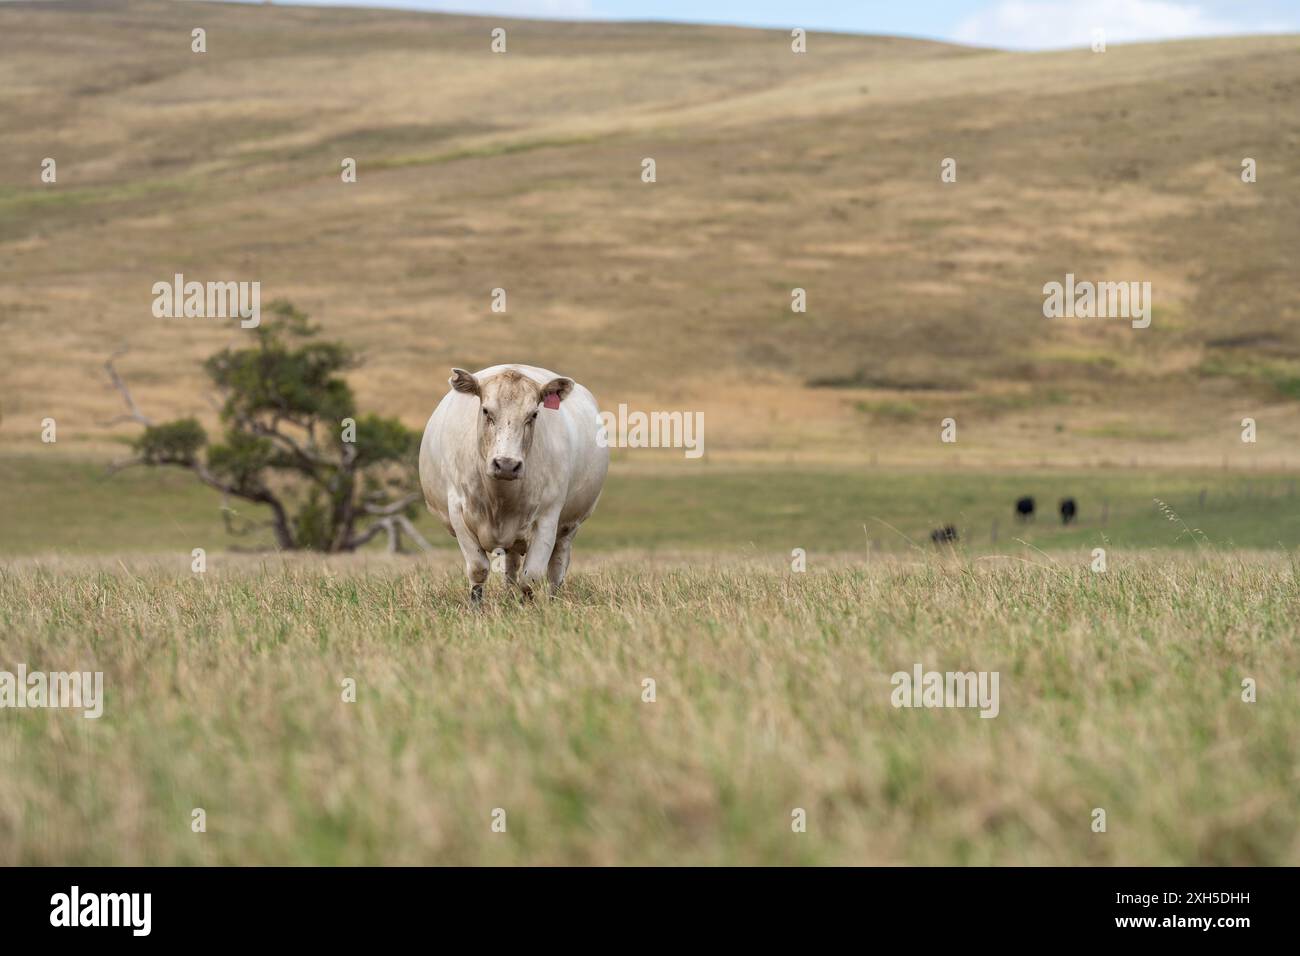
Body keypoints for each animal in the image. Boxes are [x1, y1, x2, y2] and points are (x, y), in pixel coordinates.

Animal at [419, 364, 609, 605]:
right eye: (486, 411)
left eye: (533, 414)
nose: (507, 465)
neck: (499, 498)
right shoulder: (458, 511)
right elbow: (479, 569)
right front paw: (476, 606)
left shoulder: (548, 517)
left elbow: (531, 577)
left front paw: (528, 605)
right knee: (510, 568)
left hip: (569, 527)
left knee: (556, 569)